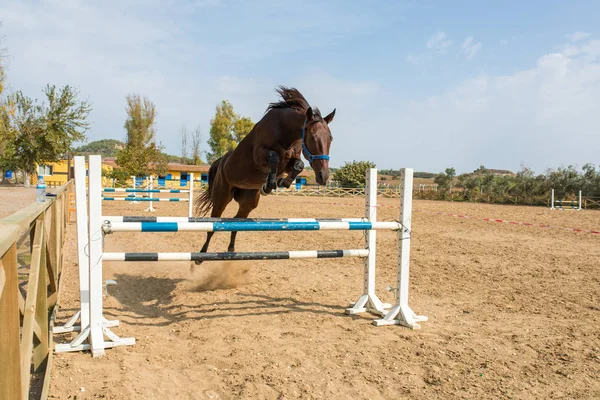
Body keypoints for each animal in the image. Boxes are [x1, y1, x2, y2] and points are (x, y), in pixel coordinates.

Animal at [193, 86, 336, 262]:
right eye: (313, 138)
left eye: (330, 139)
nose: (323, 176)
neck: (285, 132)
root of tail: (221, 162)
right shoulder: (260, 155)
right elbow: (274, 157)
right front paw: (269, 185)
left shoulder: (291, 159)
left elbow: (299, 165)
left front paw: (282, 183)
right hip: (222, 196)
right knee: (214, 223)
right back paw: (201, 255)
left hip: (248, 202)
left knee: (236, 221)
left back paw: (231, 250)